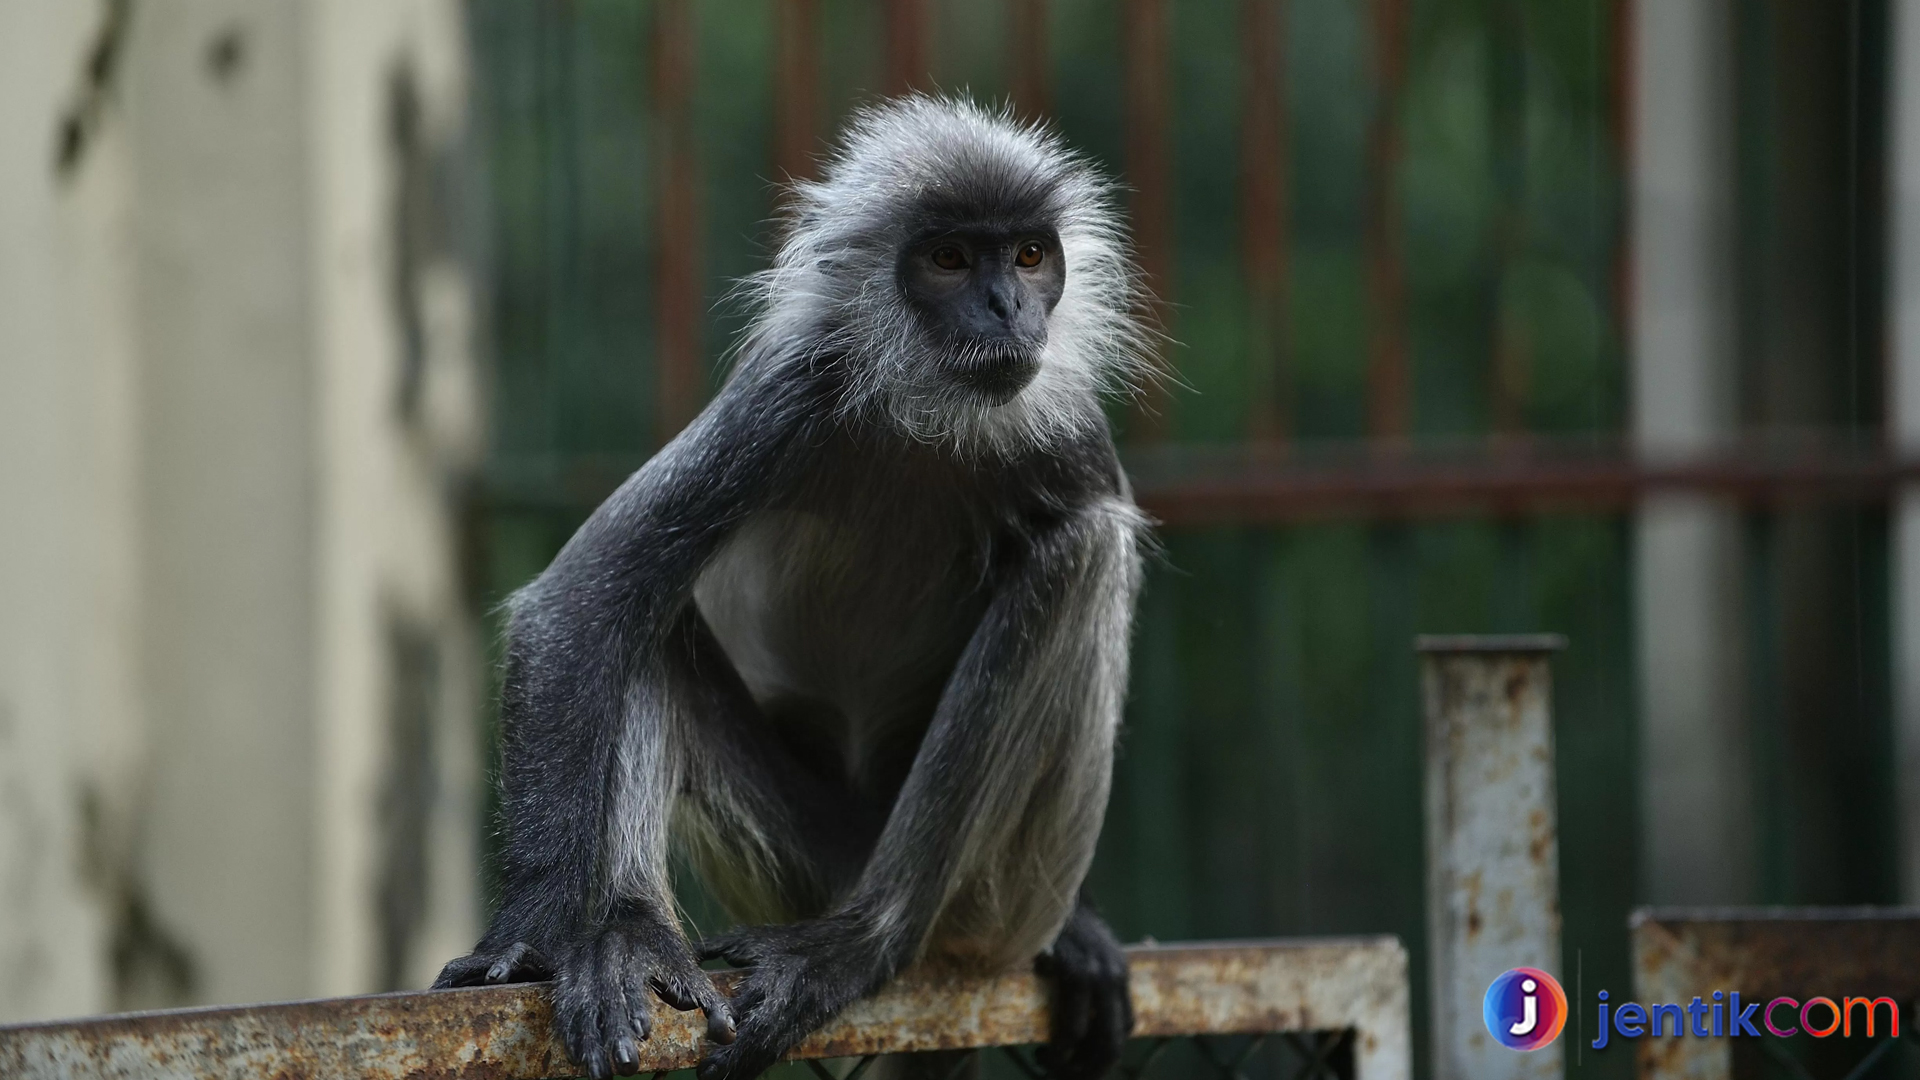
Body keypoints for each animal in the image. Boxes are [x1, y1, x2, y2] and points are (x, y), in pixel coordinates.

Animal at [432, 94, 1152, 1076]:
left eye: (1030, 257)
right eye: (951, 259)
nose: (1007, 307)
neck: (929, 423)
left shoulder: (1065, 426)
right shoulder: (789, 400)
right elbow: (584, 597)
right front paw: (533, 934)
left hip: (1000, 905)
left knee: (1083, 549)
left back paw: (861, 943)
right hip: (809, 860)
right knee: (649, 618)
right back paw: (631, 938)